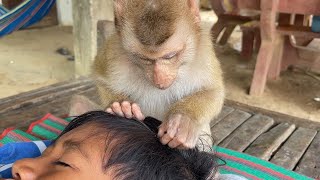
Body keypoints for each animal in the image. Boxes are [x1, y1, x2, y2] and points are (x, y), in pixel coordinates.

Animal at [90, 0, 225, 149]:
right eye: (144, 59)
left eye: (170, 56)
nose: (159, 79)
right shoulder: (113, 53)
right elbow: (101, 79)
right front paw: (120, 105)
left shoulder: (204, 52)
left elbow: (213, 91)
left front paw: (183, 120)